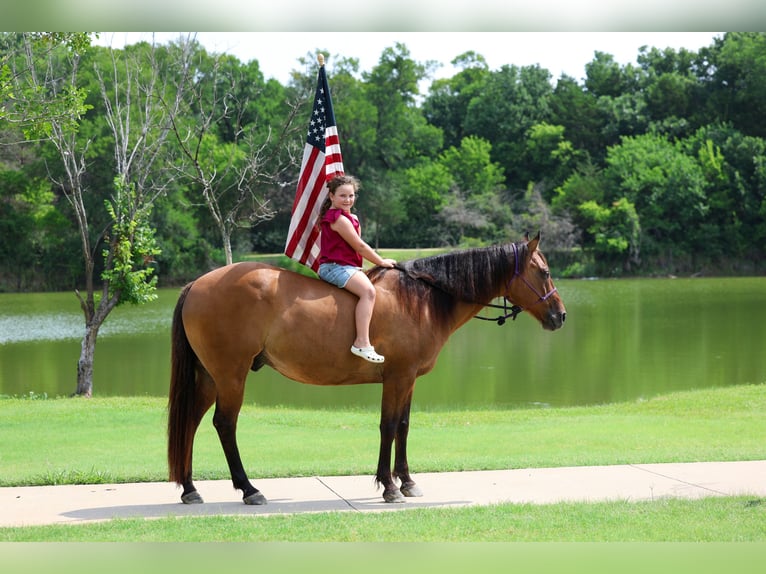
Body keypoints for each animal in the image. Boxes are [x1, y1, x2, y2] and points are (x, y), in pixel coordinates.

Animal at [167, 233, 566, 504]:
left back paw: (190, 489)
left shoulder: (408, 381)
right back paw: (249, 489)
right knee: (224, 424)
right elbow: (388, 426)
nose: (560, 315)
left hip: (209, 377)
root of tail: (196, 283)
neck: (422, 299)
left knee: (190, 423)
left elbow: (403, 426)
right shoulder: (397, 378)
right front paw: (389, 486)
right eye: (544, 271)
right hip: (230, 376)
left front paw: (407, 481)